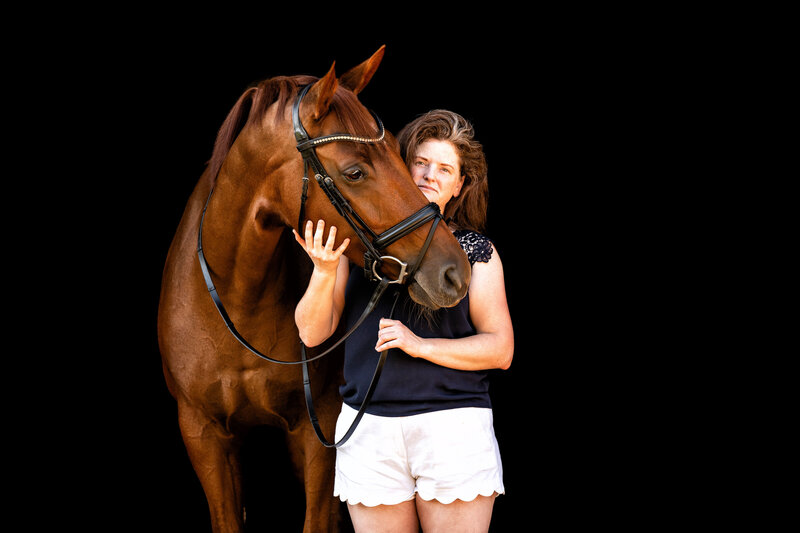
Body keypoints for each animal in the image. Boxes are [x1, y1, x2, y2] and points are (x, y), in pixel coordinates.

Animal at [155, 46, 472, 532]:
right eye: (355, 172)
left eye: (401, 157)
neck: (239, 298)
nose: (453, 272)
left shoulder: (317, 429)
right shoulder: (203, 433)